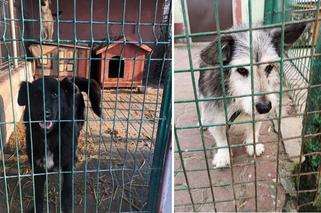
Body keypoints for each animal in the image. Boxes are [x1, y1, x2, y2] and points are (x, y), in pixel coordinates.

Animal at [16, 76, 101, 213]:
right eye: (35, 95)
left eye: (54, 94)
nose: (43, 113)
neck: (50, 137)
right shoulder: (38, 167)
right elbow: (38, 192)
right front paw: (37, 208)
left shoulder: (67, 164)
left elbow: (67, 188)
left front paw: (66, 207)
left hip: (79, 124)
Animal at [199, 23, 306, 168]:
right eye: (242, 70)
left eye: (269, 67)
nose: (265, 107)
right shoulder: (214, 112)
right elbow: (220, 137)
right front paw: (223, 155)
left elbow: (254, 129)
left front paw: (253, 145)